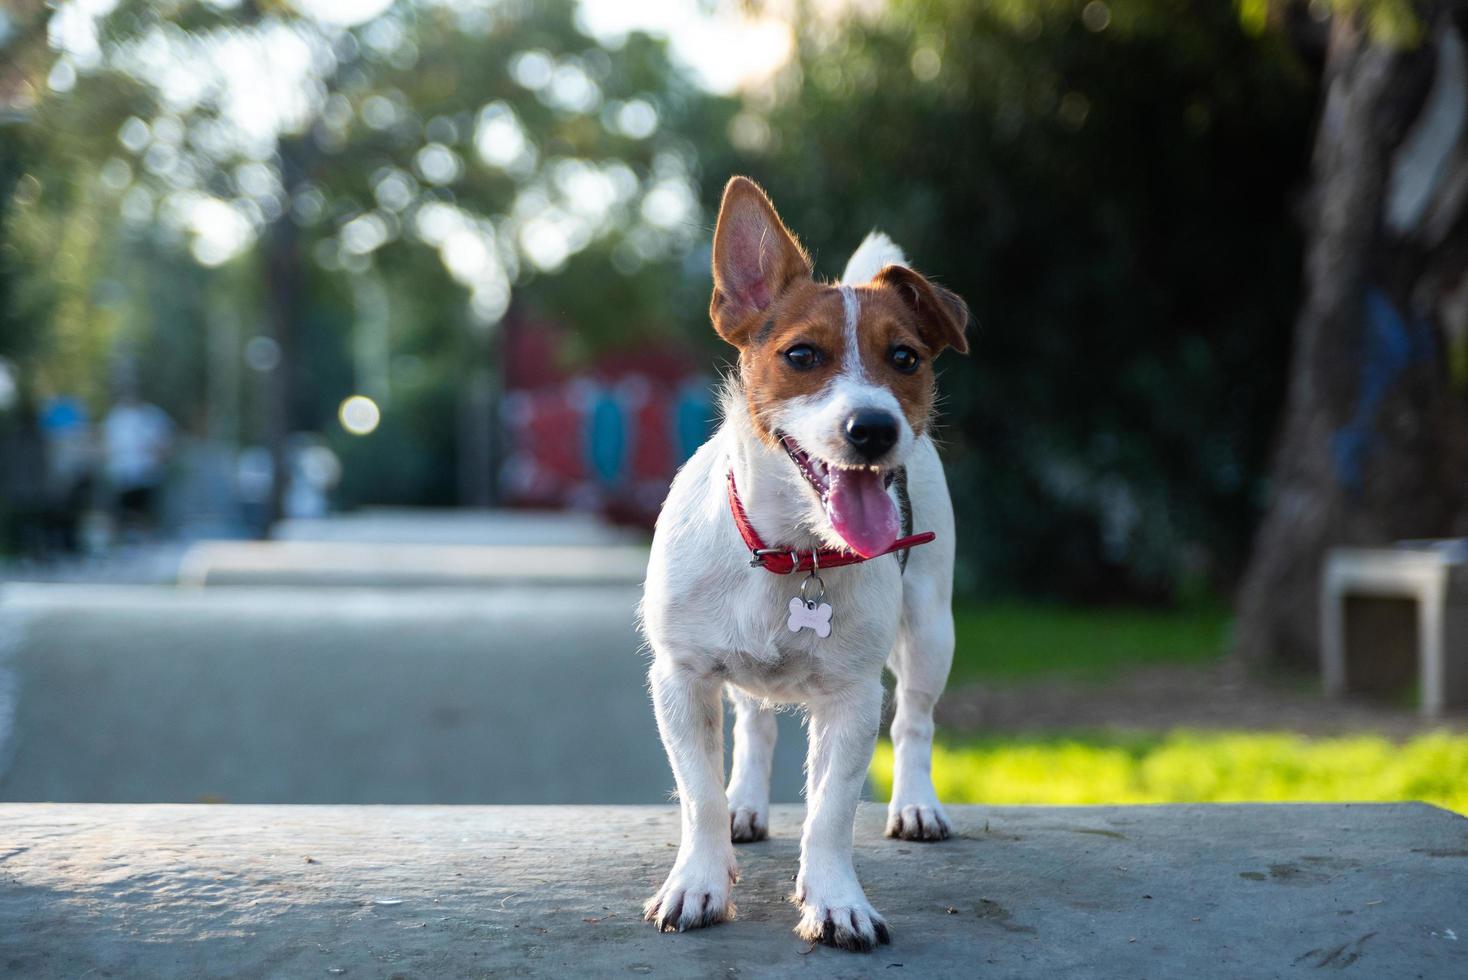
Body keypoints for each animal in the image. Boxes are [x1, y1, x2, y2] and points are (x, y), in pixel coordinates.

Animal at [640, 173, 963, 950]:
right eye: (801, 356)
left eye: (905, 358)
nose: (873, 428)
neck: (793, 552)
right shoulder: (680, 678)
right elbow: (697, 795)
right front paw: (698, 880)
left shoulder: (852, 698)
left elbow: (829, 813)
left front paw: (836, 901)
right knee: (754, 726)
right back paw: (745, 805)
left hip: (930, 630)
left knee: (915, 722)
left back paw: (916, 804)